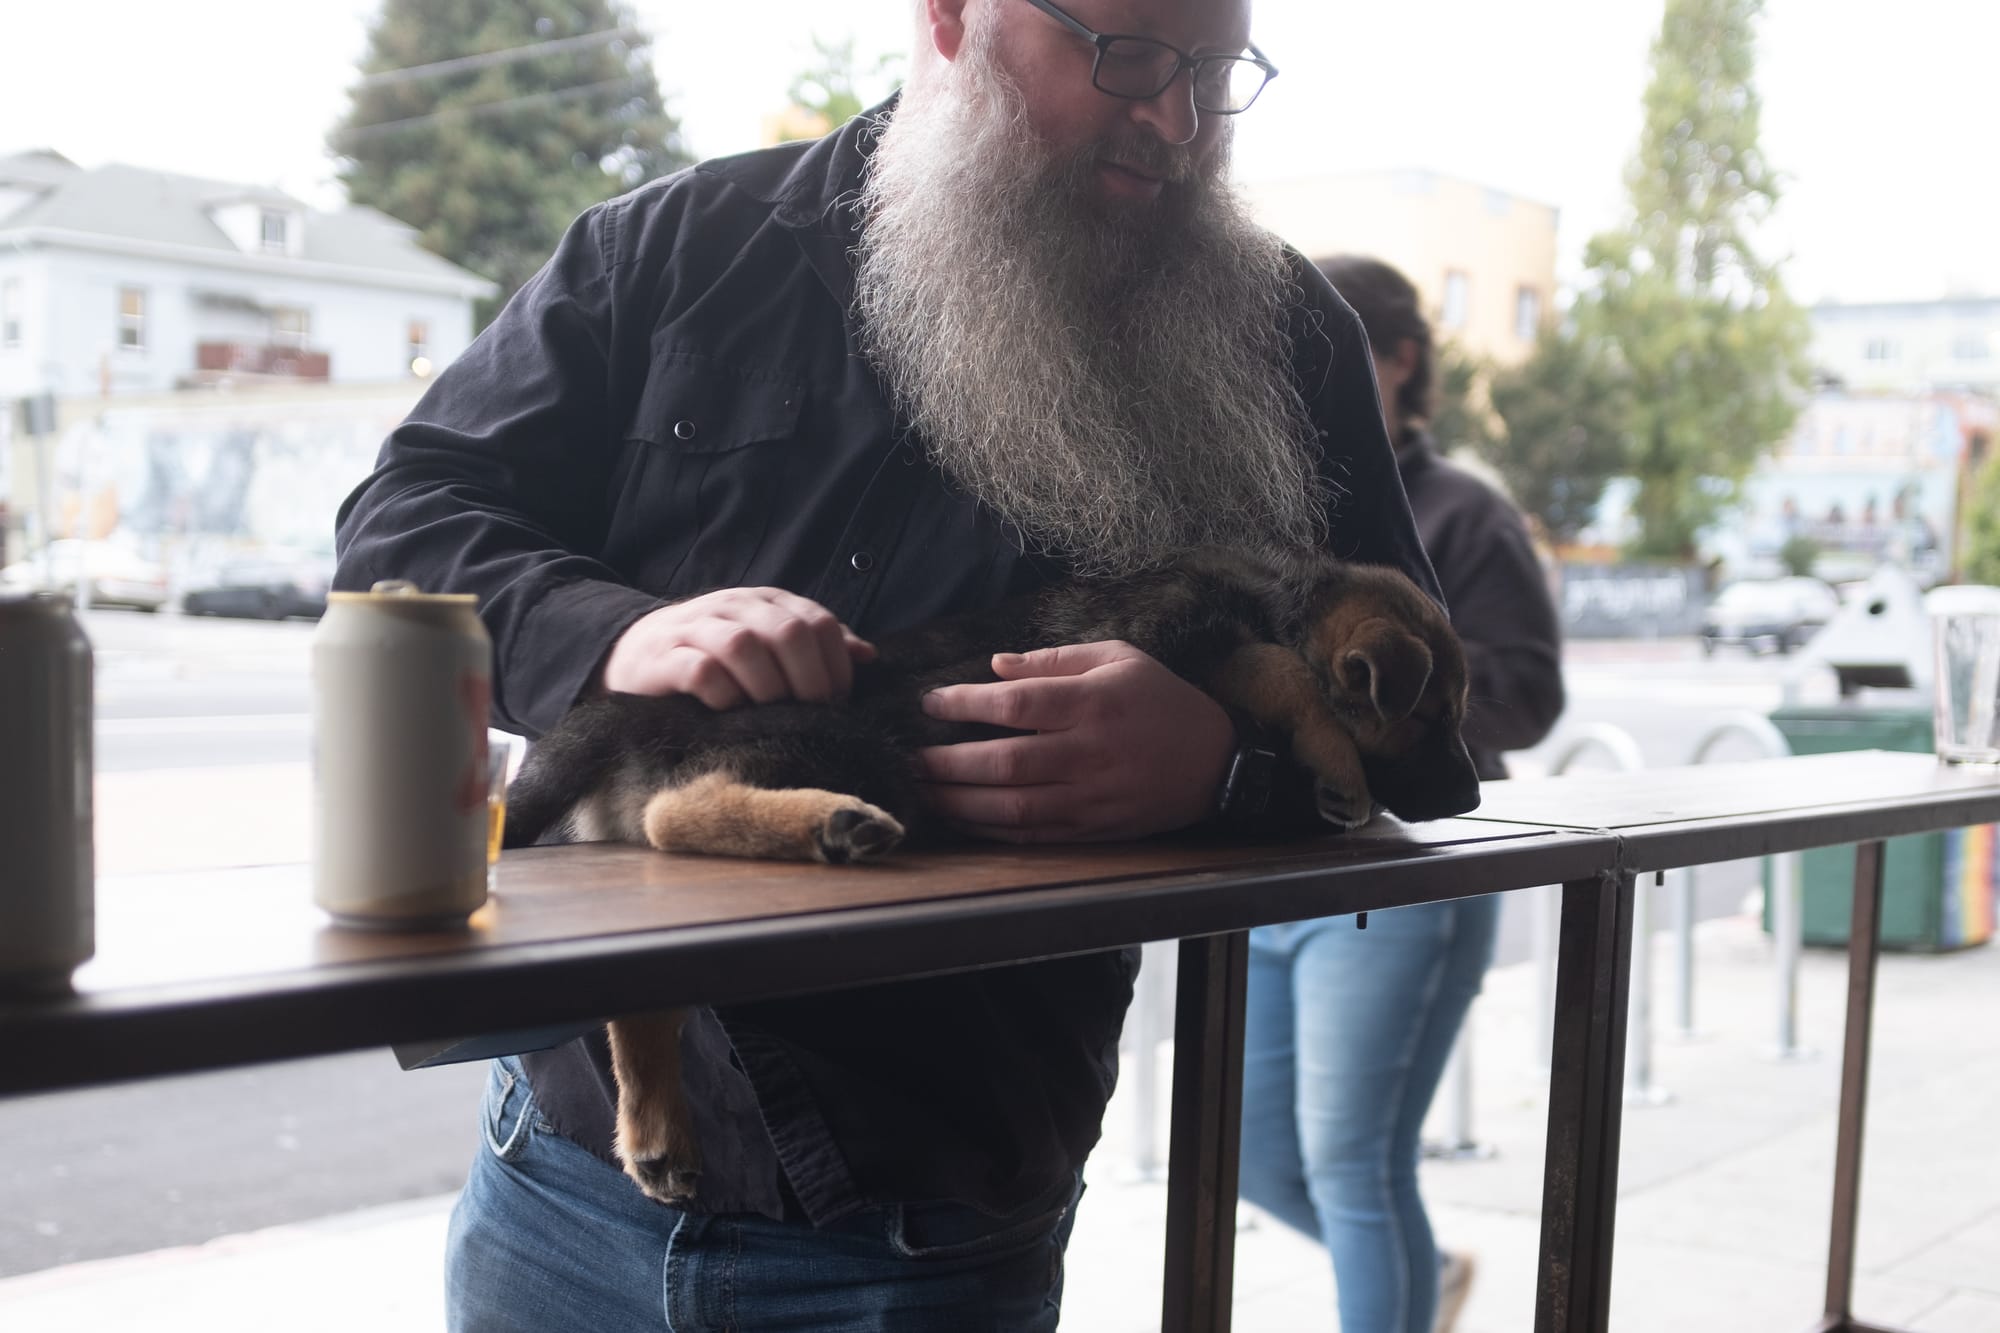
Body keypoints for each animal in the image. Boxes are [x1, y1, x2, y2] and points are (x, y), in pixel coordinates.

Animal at [502, 546, 1481, 1203]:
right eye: (1434, 717)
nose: (1476, 793)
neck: (1277, 598)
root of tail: (633, 711)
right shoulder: (1184, 641)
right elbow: (1283, 671)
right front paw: (1340, 768)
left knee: (647, 982)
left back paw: (656, 1128)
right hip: (849, 744)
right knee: (673, 816)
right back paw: (833, 824)